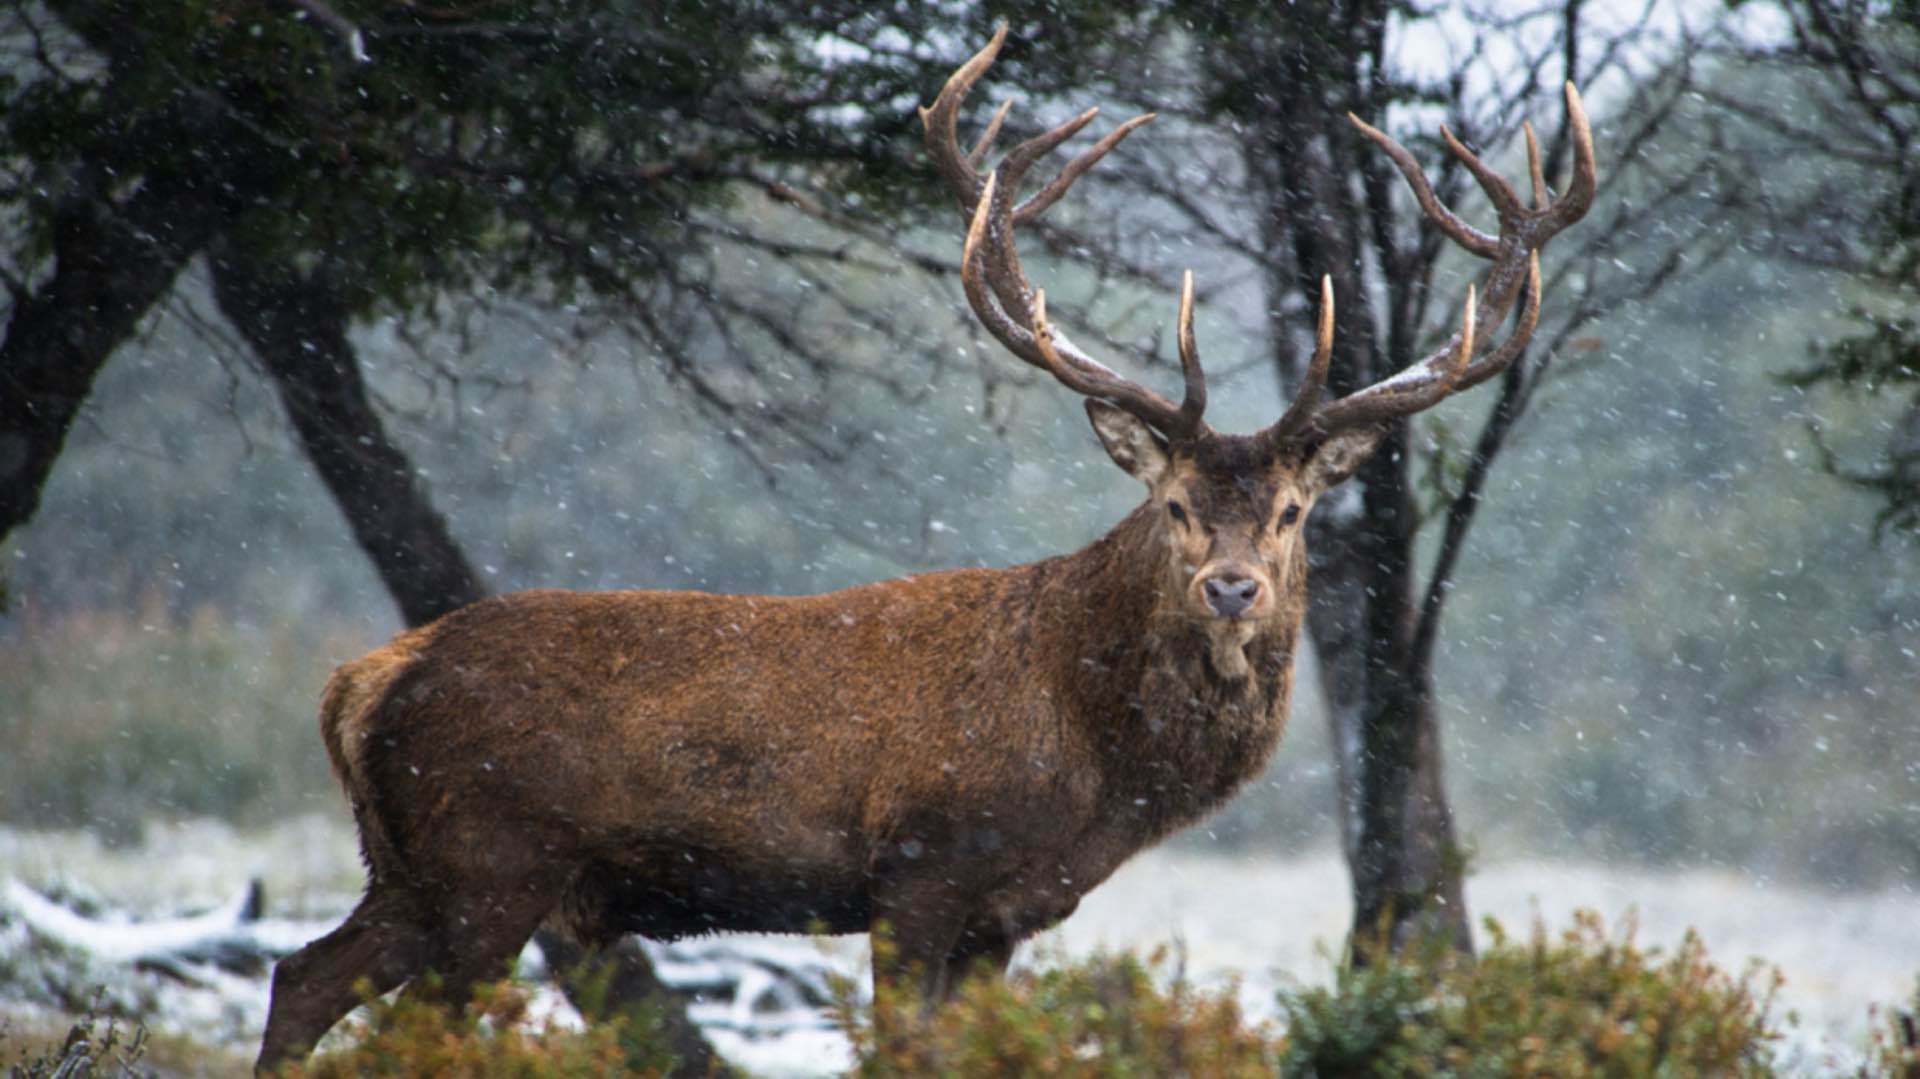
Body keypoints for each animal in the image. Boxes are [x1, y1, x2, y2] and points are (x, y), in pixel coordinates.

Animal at [256, 26, 1594, 1070]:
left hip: (414, 868)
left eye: (1292, 512)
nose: (1232, 586)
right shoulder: (917, 871)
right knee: (393, 1021)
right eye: (1172, 506)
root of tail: (363, 678)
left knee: (299, 976)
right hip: (492, 863)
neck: (1089, 759)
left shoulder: (1005, 914)